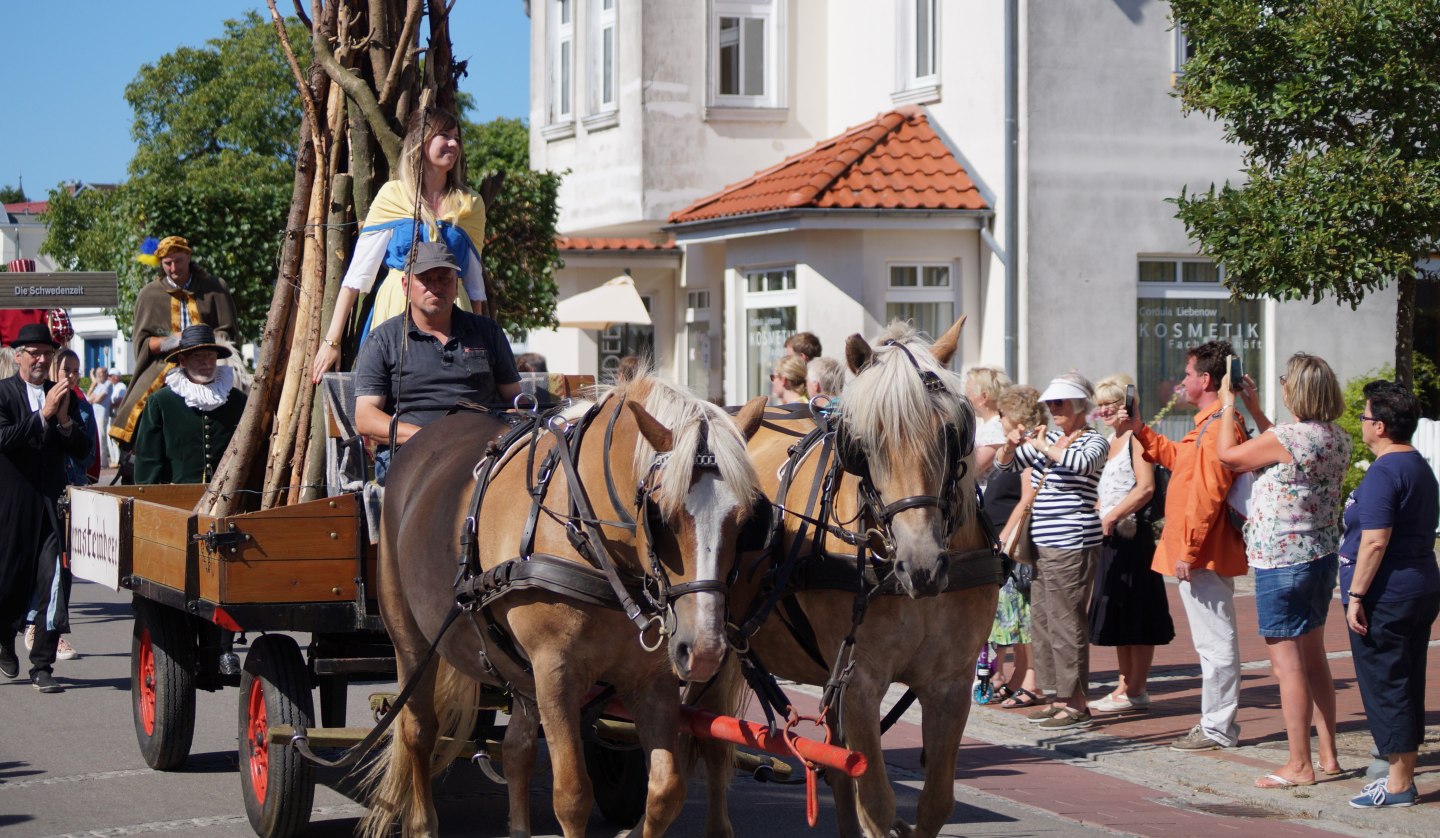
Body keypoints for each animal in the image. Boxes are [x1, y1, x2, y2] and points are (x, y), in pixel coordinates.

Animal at [365, 377, 771, 838]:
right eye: (662, 516)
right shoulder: (555, 670)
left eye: (746, 520)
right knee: (418, 729)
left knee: (517, 749)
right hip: (412, 642)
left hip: (518, 671)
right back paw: (421, 822)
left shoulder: (651, 679)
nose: (704, 650)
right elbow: (573, 795)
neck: (591, 542)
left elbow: (666, 791)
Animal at [696, 319, 1002, 838]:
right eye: (864, 440)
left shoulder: (950, 682)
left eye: (949, 431)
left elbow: (935, 803)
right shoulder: (861, 682)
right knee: (711, 738)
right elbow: (875, 803)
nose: (922, 567)